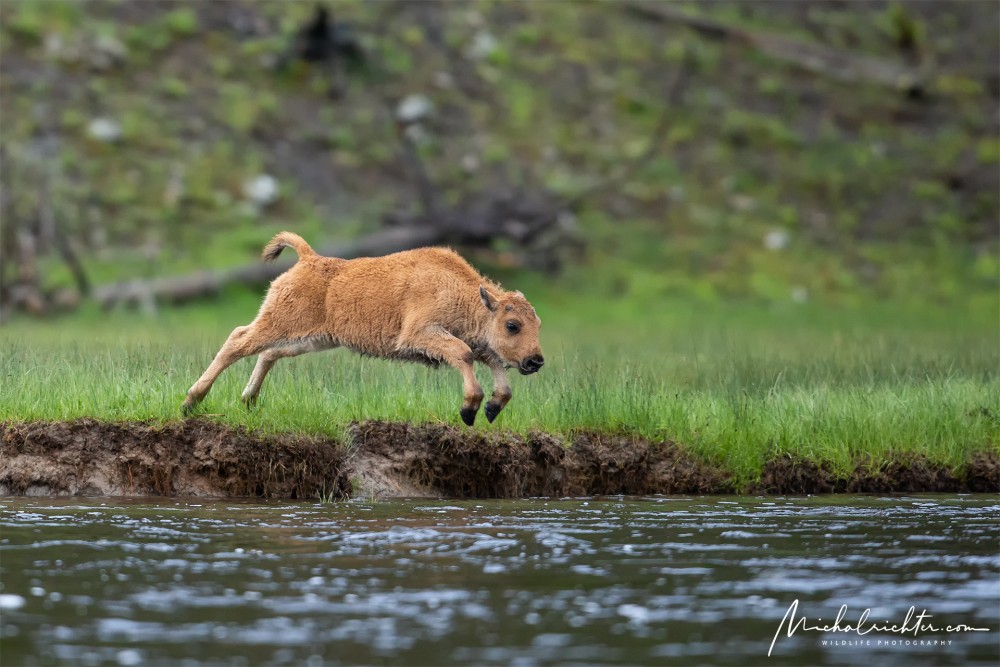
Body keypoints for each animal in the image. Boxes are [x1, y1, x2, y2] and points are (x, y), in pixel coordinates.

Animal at [176, 232, 544, 426]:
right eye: (513, 325)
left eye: (537, 324)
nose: (536, 361)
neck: (463, 292)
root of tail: (309, 259)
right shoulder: (420, 334)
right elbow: (464, 354)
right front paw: (469, 410)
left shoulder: (479, 346)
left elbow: (494, 365)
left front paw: (492, 408)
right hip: (278, 323)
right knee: (238, 340)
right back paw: (191, 401)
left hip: (311, 339)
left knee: (268, 353)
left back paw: (249, 400)